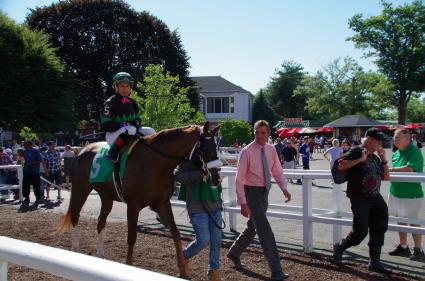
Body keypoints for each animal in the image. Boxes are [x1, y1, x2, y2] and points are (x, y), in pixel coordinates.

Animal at [56, 121, 220, 276]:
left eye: (218, 147)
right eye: (208, 149)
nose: (217, 179)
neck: (156, 162)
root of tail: (81, 150)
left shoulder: (162, 203)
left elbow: (175, 232)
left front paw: (182, 270)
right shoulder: (133, 206)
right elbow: (132, 237)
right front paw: (129, 265)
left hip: (106, 197)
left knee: (100, 222)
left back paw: (100, 254)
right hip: (80, 190)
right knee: (75, 216)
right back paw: (75, 249)